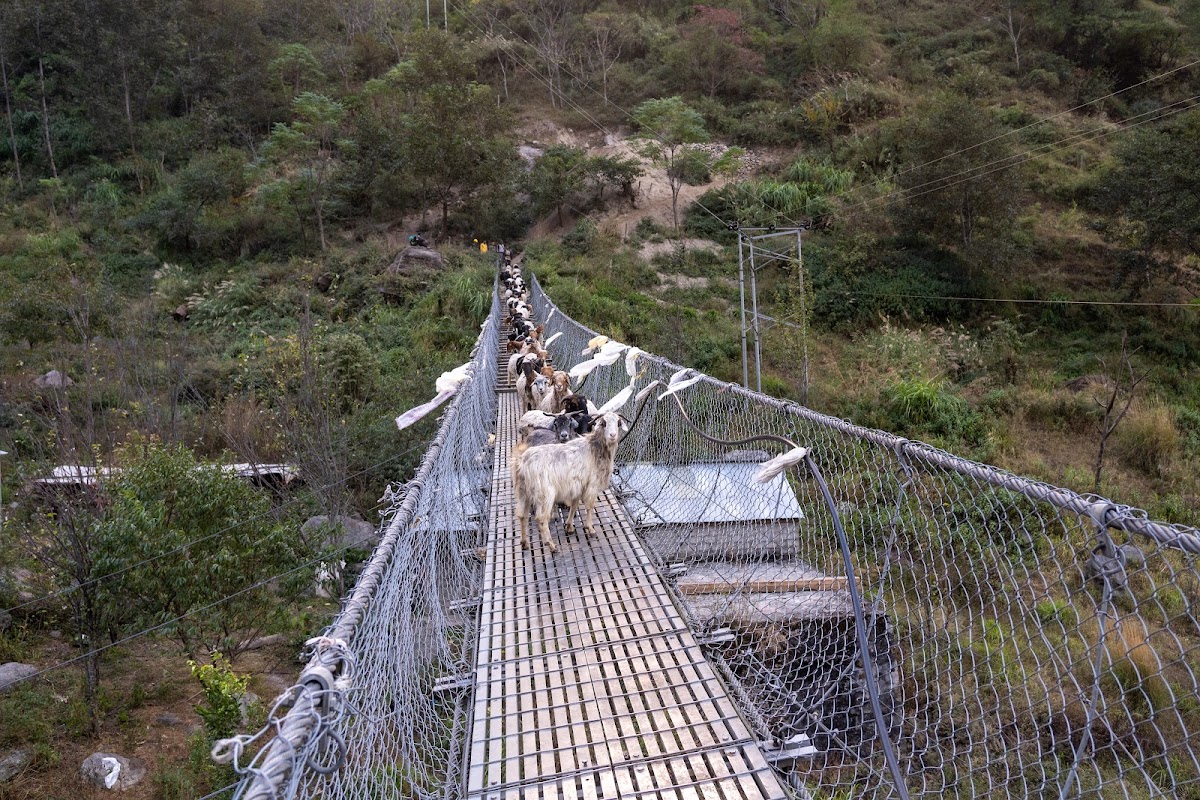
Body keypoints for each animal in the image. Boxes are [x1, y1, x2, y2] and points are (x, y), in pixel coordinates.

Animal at [511, 412, 624, 551]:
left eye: (618, 423)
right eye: (604, 423)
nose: (612, 435)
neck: (594, 448)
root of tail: (522, 462)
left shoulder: (578, 485)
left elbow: (574, 505)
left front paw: (569, 526)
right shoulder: (592, 484)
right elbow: (589, 506)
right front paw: (590, 529)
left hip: (523, 492)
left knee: (522, 516)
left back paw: (524, 543)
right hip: (545, 494)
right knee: (541, 519)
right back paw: (551, 545)